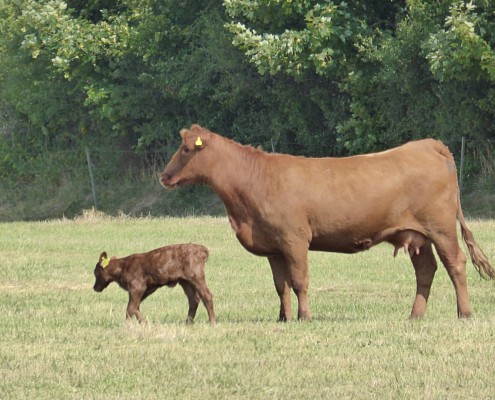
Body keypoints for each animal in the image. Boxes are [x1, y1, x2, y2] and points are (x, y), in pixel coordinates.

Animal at [161, 125, 494, 322]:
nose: (164, 176)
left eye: (186, 149)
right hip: (415, 235)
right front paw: (283, 318)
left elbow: (299, 281)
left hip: (440, 228)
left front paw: (304, 317)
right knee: (426, 270)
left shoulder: (294, 239)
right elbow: (280, 285)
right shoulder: (273, 246)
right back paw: (415, 316)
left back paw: (464, 313)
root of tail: (426, 144)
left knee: (455, 264)